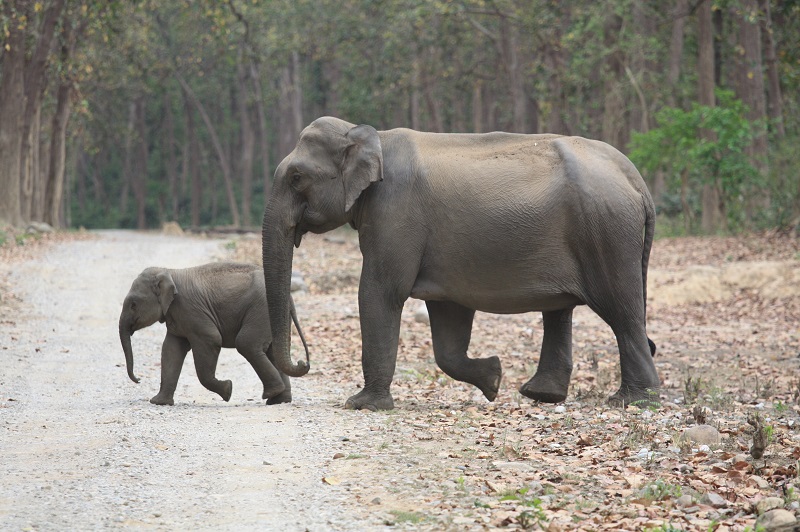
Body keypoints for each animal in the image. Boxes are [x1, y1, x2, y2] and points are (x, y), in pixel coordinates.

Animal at [119, 262, 309, 406]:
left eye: (133, 304)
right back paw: (278, 400)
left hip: (261, 311)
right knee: (272, 352)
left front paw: (228, 390)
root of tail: (289, 296)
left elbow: (211, 339)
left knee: (246, 344)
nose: (138, 379)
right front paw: (159, 402)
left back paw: (271, 394)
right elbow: (171, 350)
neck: (169, 272)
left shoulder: (191, 310)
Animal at [261, 116, 659, 411]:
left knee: (621, 311)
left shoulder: (393, 212)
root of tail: (637, 180)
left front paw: (361, 405)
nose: (304, 363)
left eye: (296, 177)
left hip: (606, 232)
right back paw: (541, 395)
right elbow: (447, 322)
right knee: (561, 311)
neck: (371, 136)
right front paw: (494, 378)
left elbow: (380, 292)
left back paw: (633, 401)